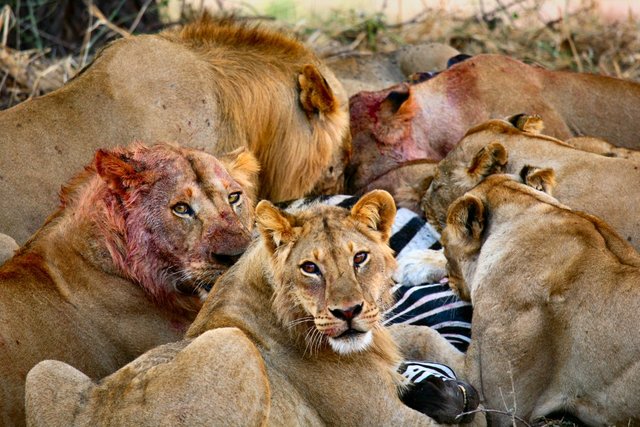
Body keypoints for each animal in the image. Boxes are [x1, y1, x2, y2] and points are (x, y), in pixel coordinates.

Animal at [25, 191, 480, 427]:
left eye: (360, 258)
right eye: (310, 268)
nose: (348, 312)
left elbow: (423, 333)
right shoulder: (384, 420)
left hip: (44, 371)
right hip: (228, 344)